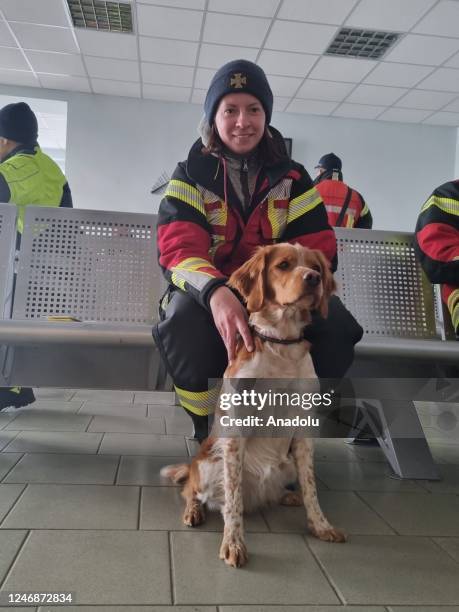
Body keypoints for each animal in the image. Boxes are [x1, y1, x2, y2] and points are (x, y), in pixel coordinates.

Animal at [162, 241, 344, 568]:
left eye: (316, 267)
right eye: (283, 265)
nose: (313, 279)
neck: (281, 346)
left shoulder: (303, 430)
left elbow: (311, 485)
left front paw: (321, 525)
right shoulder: (235, 433)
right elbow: (232, 500)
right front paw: (233, 543)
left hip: (284, 465)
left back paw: (288, 496)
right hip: (207, 465)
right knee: (192, 491)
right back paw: (193, 511)